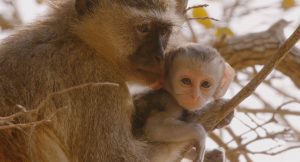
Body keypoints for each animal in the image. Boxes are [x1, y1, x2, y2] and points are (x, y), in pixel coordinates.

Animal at [0, 0, 188, 162]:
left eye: (163, 31)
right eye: (144, 28)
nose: (160, 56)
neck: (81, 40)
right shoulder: (99, 84)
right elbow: (114, 157)